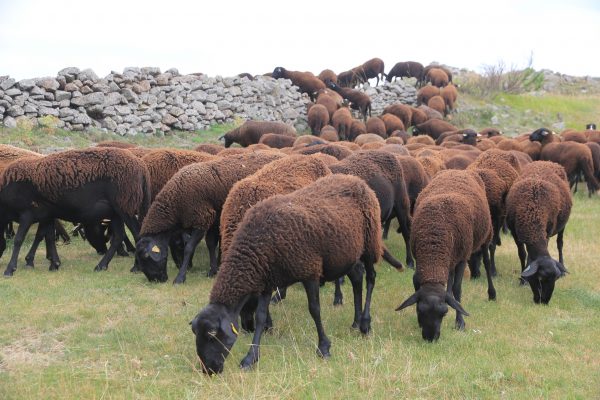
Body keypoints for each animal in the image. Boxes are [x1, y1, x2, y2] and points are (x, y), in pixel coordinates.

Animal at [0, 148, 150, 276]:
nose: (101, 250)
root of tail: (141, 167)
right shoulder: (47, 215)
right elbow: (48, 238)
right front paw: (54, 264)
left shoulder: (28, 213)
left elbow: (19, 240)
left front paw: (10, 269)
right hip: (115, 212)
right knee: (119, 236)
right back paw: (101, 266)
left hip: (125, 206)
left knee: (137, 234)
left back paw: (136, 267)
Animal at [136, 152, 284, 282]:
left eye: (146, 257)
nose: (156, 280)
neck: (176, 201)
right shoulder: (212, 219)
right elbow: (211, 243)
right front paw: (213, 270)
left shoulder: (202, 219)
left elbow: (189, 247)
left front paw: (180, 277)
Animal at [190, 173, 392, 374]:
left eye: (212, 335)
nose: (209, 370)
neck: (258, 245)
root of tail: (357, 179)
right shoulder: (268, 281)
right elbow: (261, 316)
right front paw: (250, 358)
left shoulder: (310, 271)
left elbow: (314, 310)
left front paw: (324, 347)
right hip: (346, 253)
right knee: (357, 276)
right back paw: (356, 322)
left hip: (370, 243)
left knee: (371, 278)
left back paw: (365, 324)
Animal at [396, 169, 494, 340]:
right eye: (420, 310)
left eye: (444, 313)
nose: (430, 338)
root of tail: (458, 170)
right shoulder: (420, 258)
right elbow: (416, 281)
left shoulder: (462, 258)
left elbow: (457, 288)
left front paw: (460, 323)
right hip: (452, 256)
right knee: (449, 276)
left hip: (484, 237)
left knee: (487, 263)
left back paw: (492, 294)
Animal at [506, 162, 572, 304]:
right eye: (540, 279)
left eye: (555, 280)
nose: (544, 302)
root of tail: (546, 161)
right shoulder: (515, 232)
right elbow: (522, 254)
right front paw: (523, 280)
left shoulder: (547, 231)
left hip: (562, 225)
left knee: (560, 244)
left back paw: (563, 267)